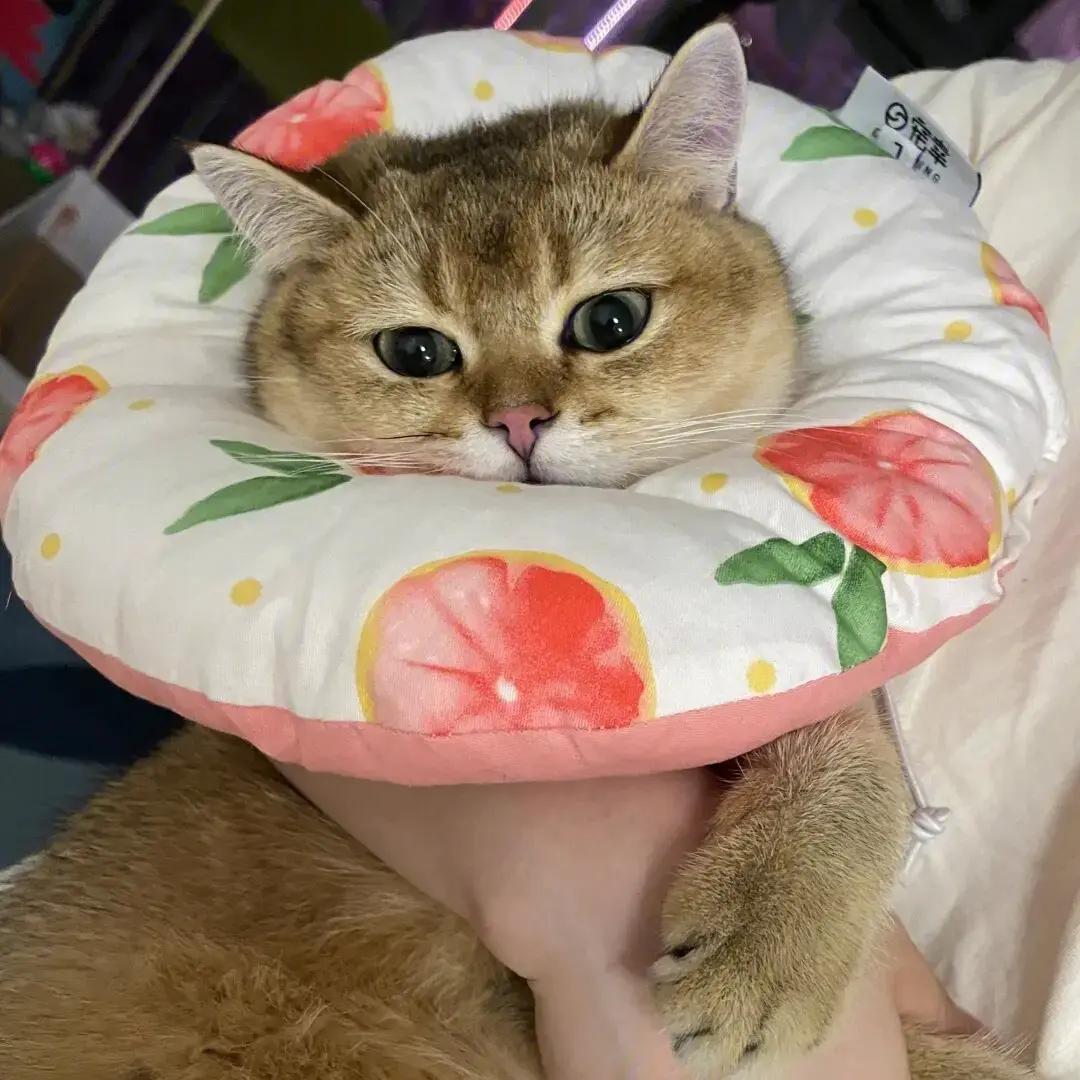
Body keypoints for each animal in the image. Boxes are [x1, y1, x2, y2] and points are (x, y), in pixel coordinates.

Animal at [0, 24, 1034, 1080]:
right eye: (415, 352)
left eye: (611, 321)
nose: (519, 421)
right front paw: (773, 956)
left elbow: (855, 742)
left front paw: (768, 940)